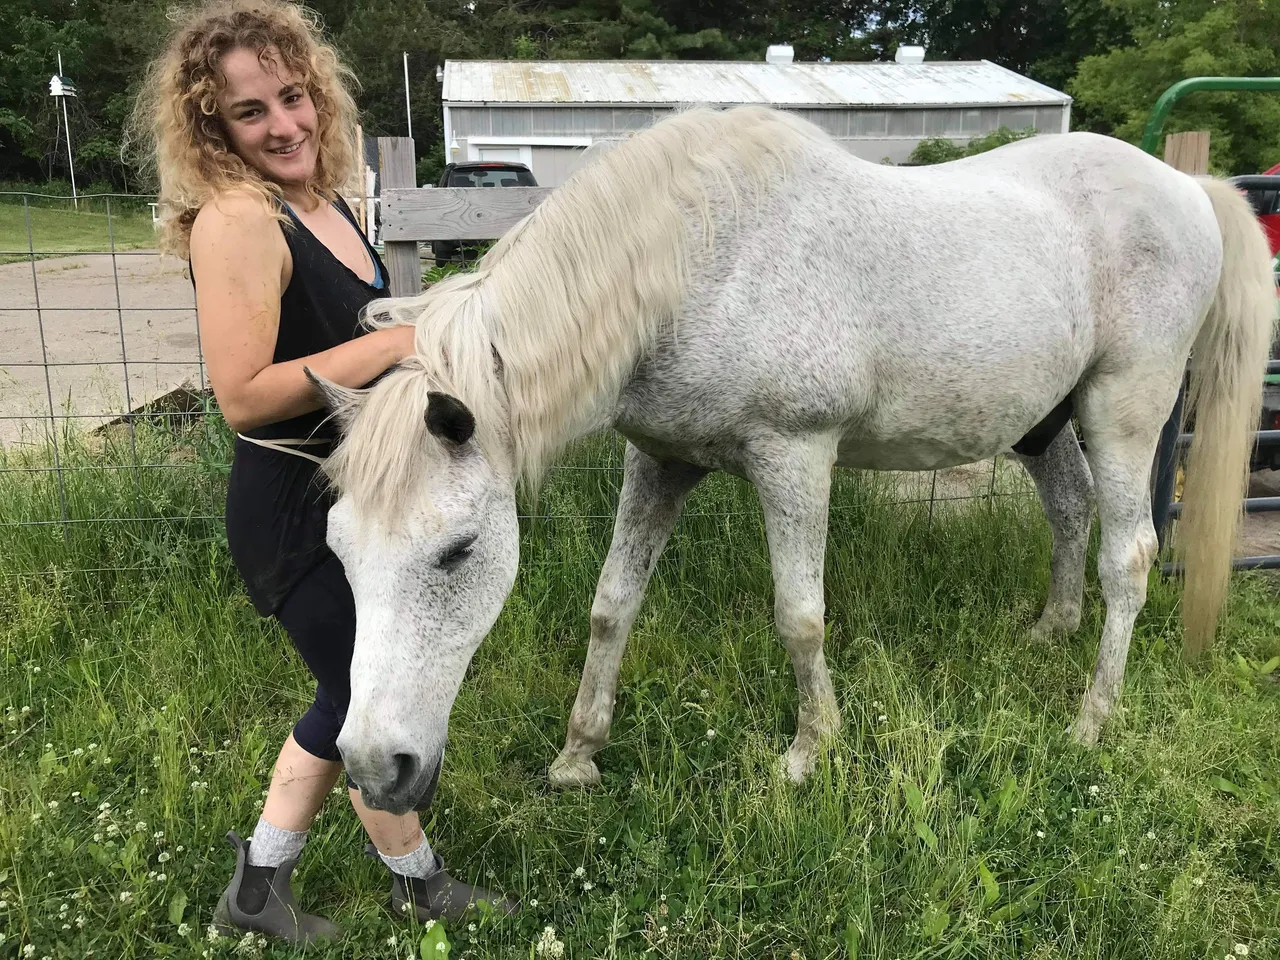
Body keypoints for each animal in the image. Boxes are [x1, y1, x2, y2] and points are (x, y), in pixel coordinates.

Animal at [305, 104, 1275, 814]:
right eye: (339, 553)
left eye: (458, 551)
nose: (374, 770)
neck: (696, 262)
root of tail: (1187, 187)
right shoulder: (659, 463)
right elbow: (613, 607)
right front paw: (579, 755)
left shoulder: (795, 458)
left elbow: (800, 616)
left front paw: (810, 753)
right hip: (1045, 421)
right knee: (1069, 508)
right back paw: (1050, 630)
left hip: (1124, 409)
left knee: (1130, 557)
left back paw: (1090, 722)